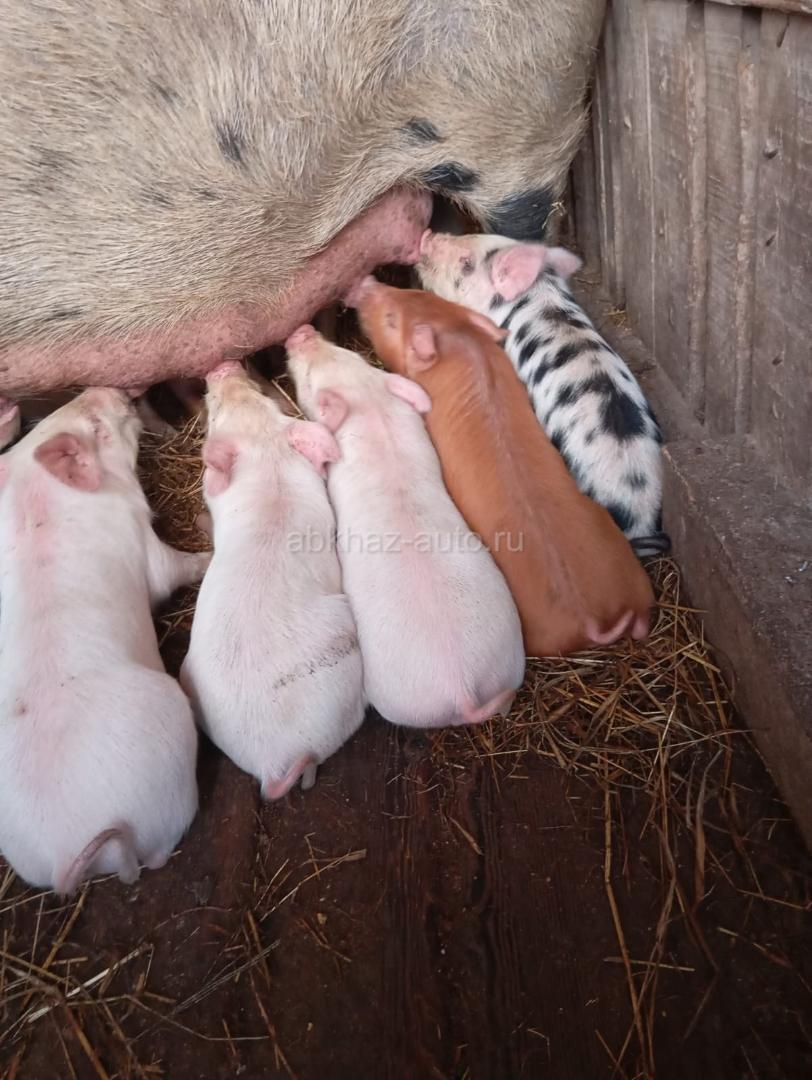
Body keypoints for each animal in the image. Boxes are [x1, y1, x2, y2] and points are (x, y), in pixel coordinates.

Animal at [0, 389, 207, 894]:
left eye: (45, 422)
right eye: (95, 428)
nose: (111, 388)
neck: (36, 502)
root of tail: (63, 855)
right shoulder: (143, 542)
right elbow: (174, 569)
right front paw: (209, 554)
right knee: (157, 856)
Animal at [285, 326, 525, 728]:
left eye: (309, 380)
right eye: (353, 354)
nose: (301, 331)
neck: (369, 407)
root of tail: (463, 691)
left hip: (391, 697)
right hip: (510, 658)